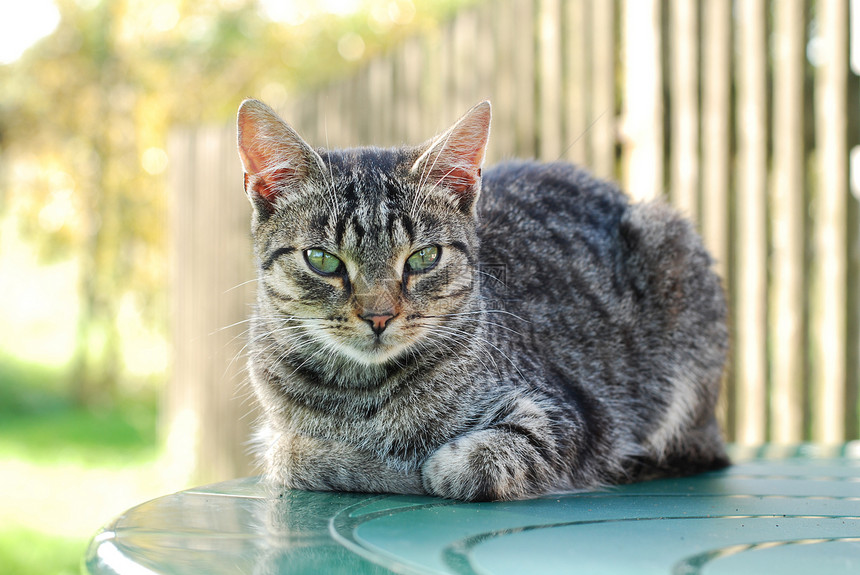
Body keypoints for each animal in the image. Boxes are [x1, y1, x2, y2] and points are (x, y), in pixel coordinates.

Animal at [237, 97, 732, 502]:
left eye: (424, 257)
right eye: (322, 259)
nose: (379, 316)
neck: (361, 395)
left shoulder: (575, 416)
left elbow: (472, 462)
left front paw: (417, 468)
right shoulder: (278, 436)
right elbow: (292, 456)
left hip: (672, 245)